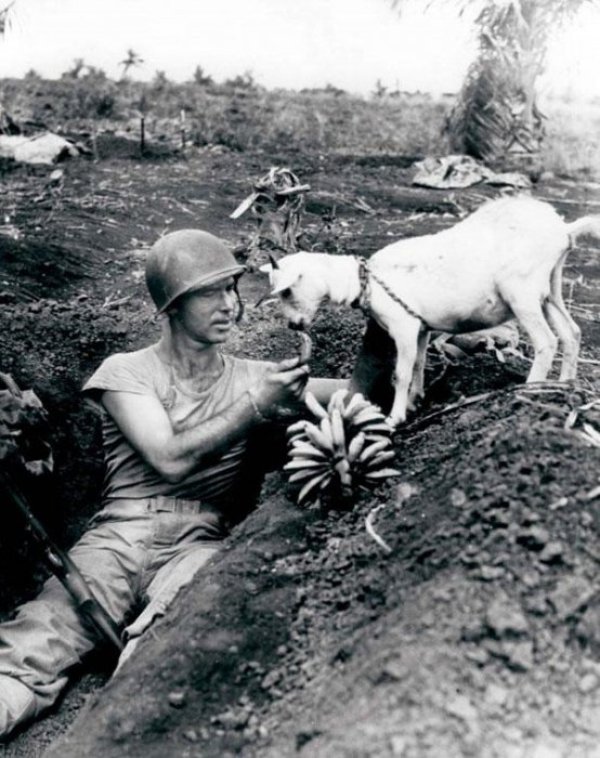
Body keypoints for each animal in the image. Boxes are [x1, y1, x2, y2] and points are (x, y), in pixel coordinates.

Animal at [262, 197, 600, 428]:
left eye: (287, 291)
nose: (293, 325)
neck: (365, 280)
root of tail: (563, 229)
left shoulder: (404, 326)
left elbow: (401, 373)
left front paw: (395, 416)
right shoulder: (421, 328)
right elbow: (418, 365)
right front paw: (415, 401)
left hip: (523, 292)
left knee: (546, 341)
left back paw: (530, 389)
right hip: (549, 290)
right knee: (571, 333)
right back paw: (563, 386)